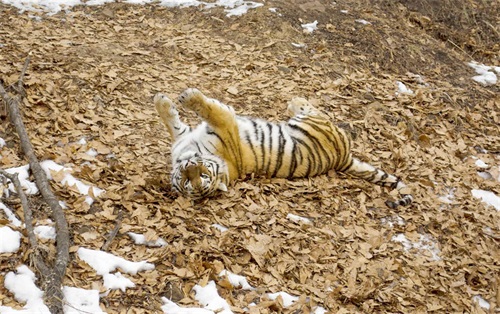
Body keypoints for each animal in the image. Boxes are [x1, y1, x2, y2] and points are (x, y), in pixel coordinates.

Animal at [154, 87, 412, 209]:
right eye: (187, 181)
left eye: (203, 174)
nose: (190, 165)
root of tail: (345, 159)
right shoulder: (186, 138)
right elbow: (173, 121)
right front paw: (165, 101)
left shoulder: (223, 123)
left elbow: (201, 111)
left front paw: (175, 99)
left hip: (314, 122)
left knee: (313, 109)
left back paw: (294, 101)